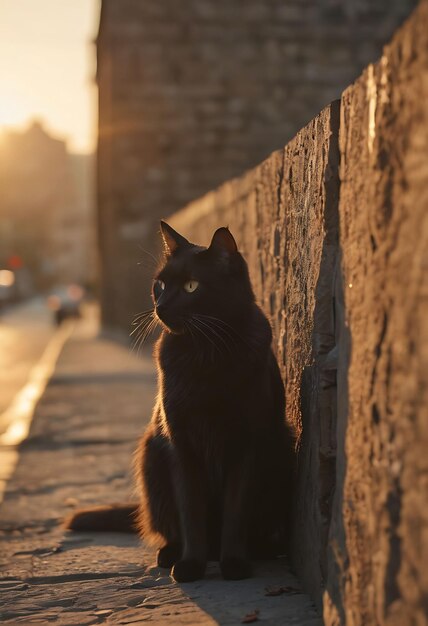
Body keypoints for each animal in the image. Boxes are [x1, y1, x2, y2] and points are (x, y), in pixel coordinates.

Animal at [67, 223, 294, 580]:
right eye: (160, 285)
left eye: (191, 286)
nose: (161, 306)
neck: (205, 350)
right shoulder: (180, 444)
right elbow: (190, 511)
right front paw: (190, 565)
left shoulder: (247, 445)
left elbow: (235, 511)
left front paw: (234, 563)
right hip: (152, 456)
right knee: (168, 526)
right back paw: (172, 553)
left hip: (281, 447)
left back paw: (259, 550)